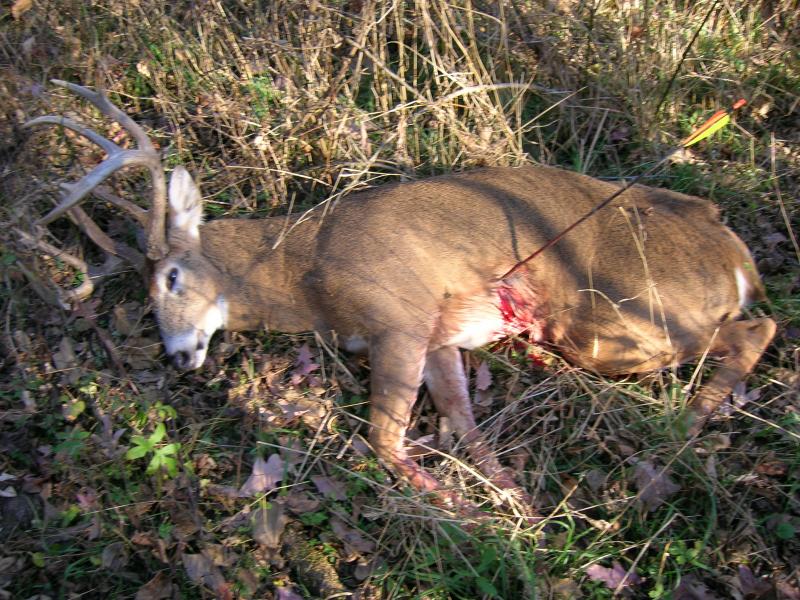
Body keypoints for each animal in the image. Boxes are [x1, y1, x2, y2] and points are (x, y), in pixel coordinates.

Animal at [25, 82, 776, 508]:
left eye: (172, 277)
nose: (179, 355)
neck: (303, 273)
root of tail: (735, 250)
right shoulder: (438, 334)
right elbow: (464, 425)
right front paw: (516, 507)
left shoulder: (399, 316)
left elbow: (383, 440)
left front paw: (455, 507)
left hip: (617, 319)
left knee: (752, 331)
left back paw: (688, 424)